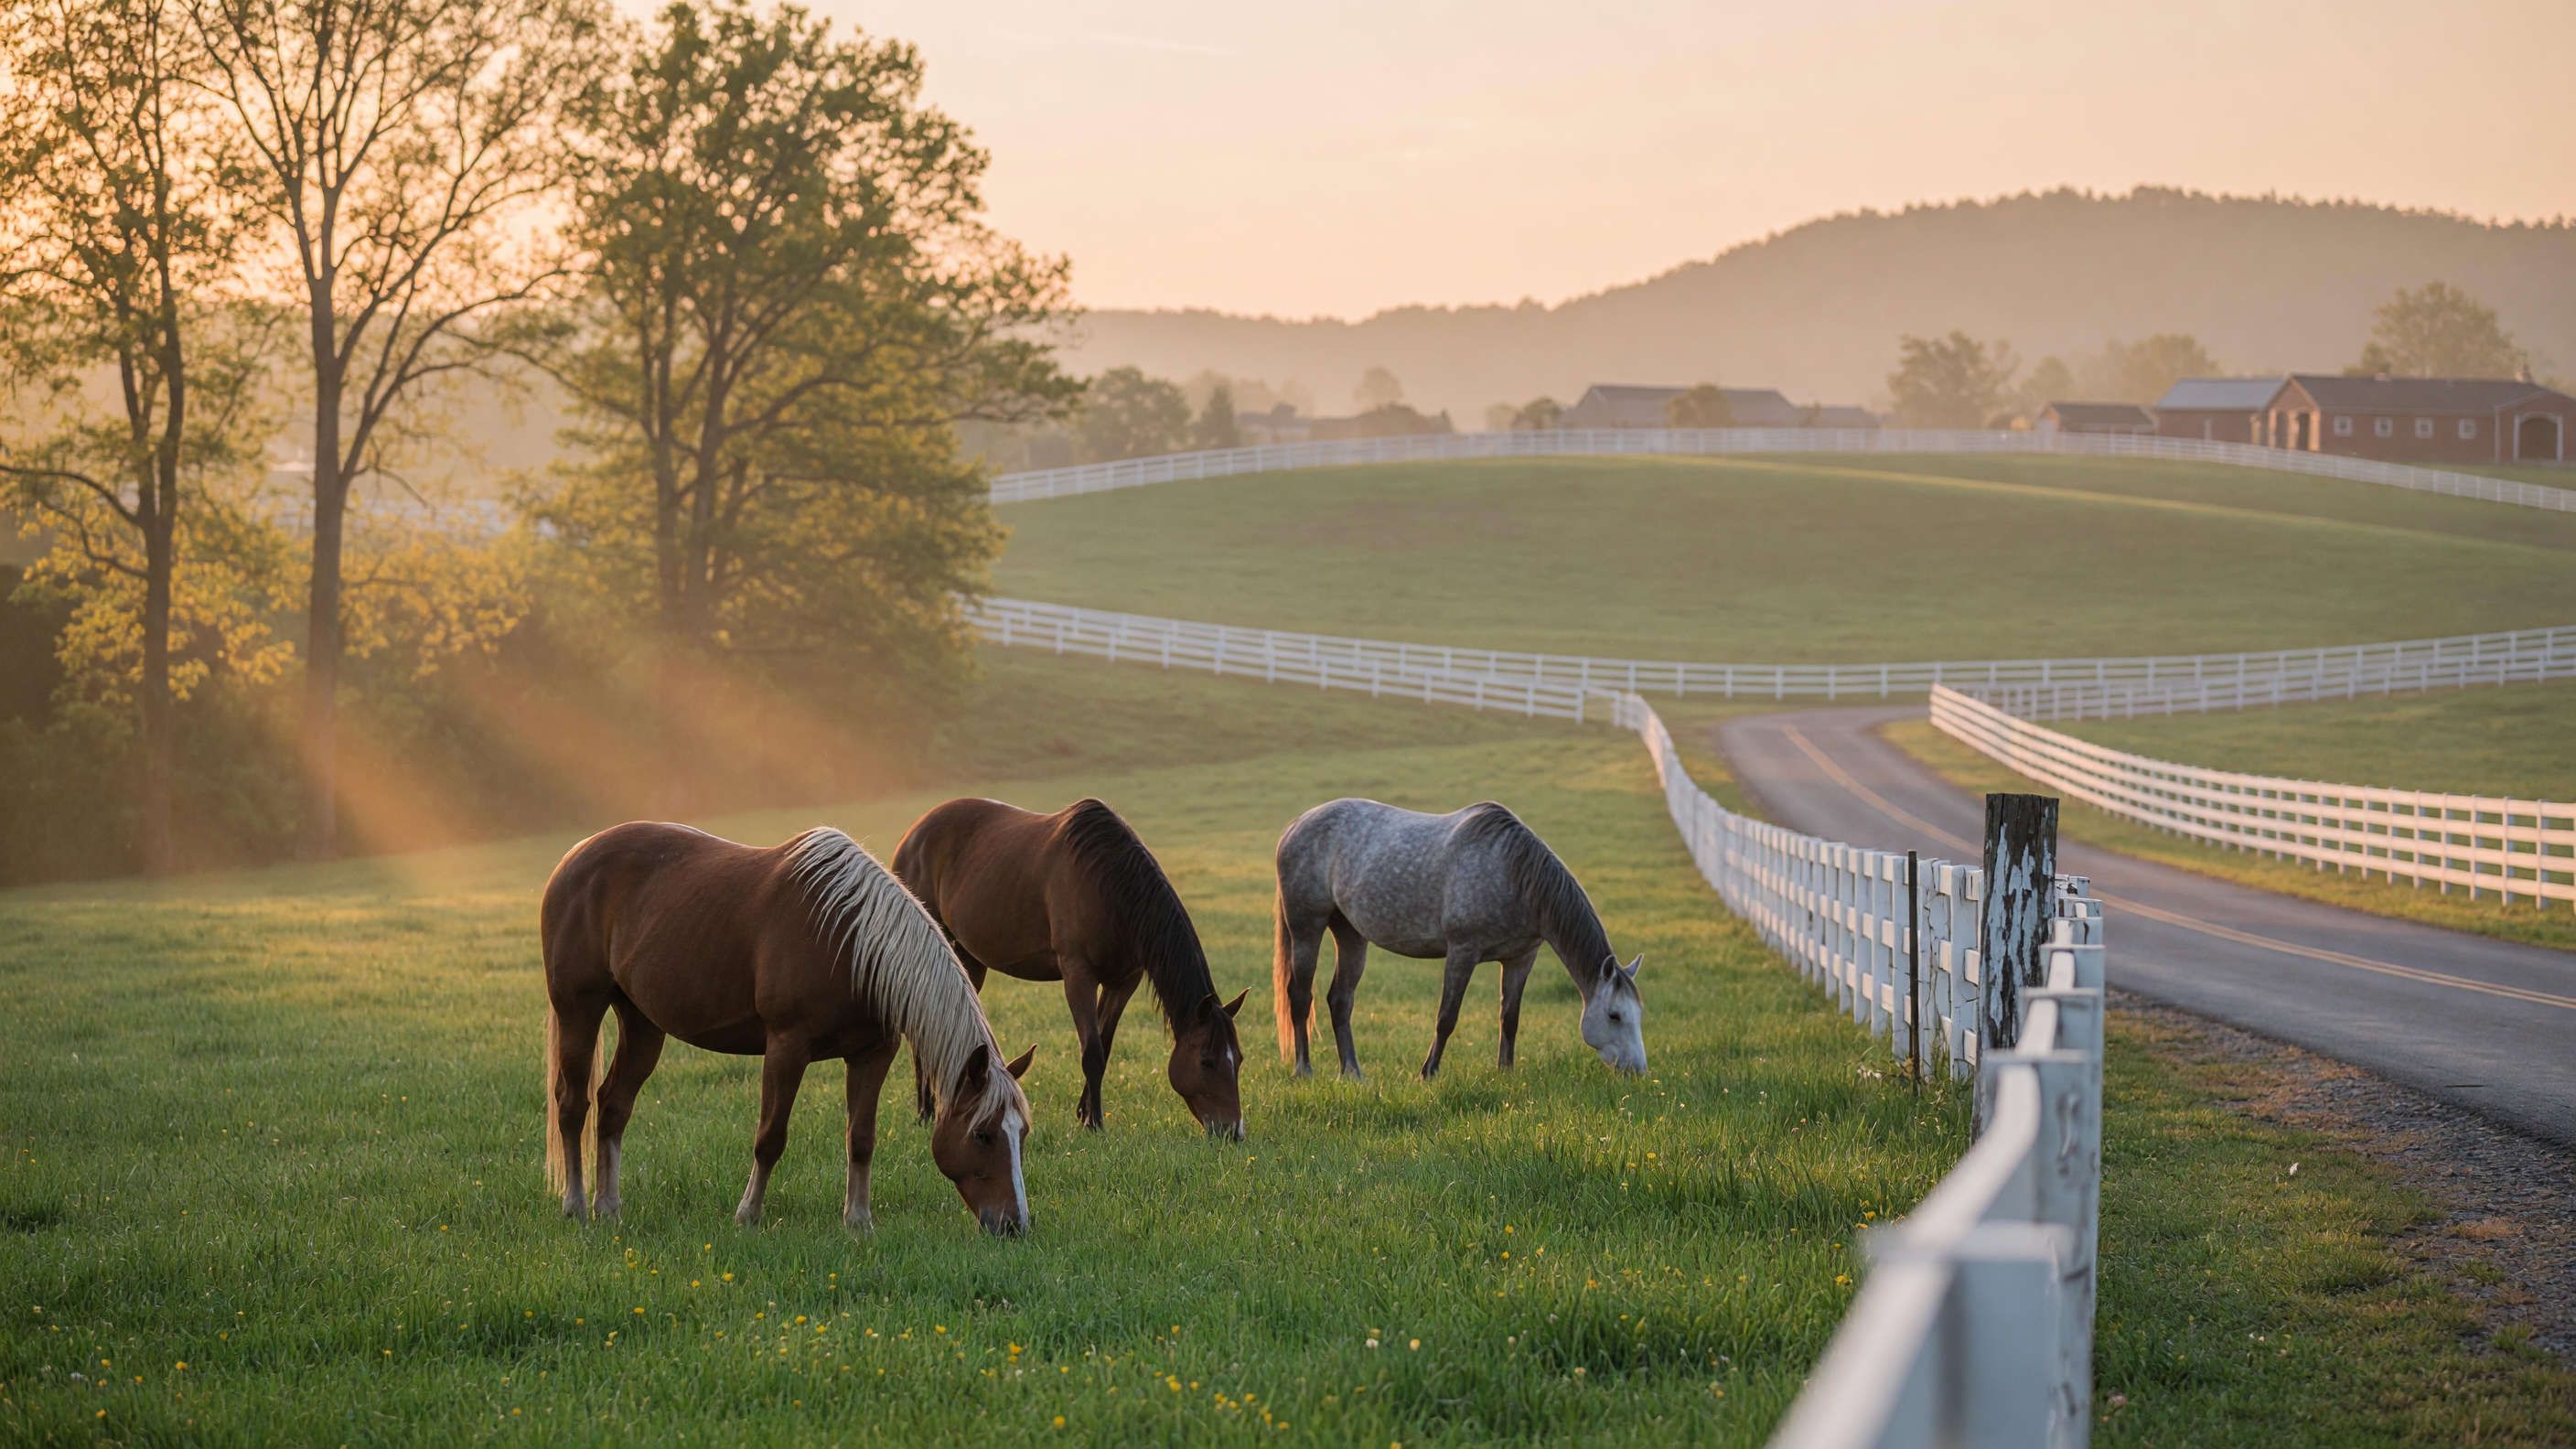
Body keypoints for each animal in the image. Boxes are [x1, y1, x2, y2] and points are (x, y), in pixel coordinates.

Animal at [540, 822, 1038, 1235]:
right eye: (982, 1133)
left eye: (1022, 1135)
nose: (1014, 1226)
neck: (852, 942)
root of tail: (574, 856)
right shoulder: (786, 1047)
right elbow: (770, 1138)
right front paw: (748, 1215)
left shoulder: (873, 1055)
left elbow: (861, 1139)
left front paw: (859, 1222)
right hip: (578, 1011)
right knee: (573, 1104)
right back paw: (576, 1206)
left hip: (643, 1024)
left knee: (613, 1106)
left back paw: (609, 1207)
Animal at [892, 797, 1248, 1139]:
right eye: (1206, 1061)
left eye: (1240, 1059)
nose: (1233, 1131)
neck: (1109, 885)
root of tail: (912, 835)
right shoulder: (1079, 975)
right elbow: (1092, 1051)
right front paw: (1094, 1125)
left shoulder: (1124, 981)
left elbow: (1104, 1046)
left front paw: (1085, 1112)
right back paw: (926, 1112)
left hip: (970, 958)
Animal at [1272, 798, 1647, 1081]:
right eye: (1614, 1015)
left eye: (1639, 1014)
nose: (1639, 1071)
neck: (1513, 872)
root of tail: (1295, 825)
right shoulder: (1463, 951)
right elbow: (1447, 1017)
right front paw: (1428, 1073)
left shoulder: (1520, 959)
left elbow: (1510, 1018)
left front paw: (1505, 1072)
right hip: (1306, 927)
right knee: (1300, 995)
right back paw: (1304, 1070)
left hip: (1350, 934)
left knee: (1340, 1000)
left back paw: (1352, 1073)